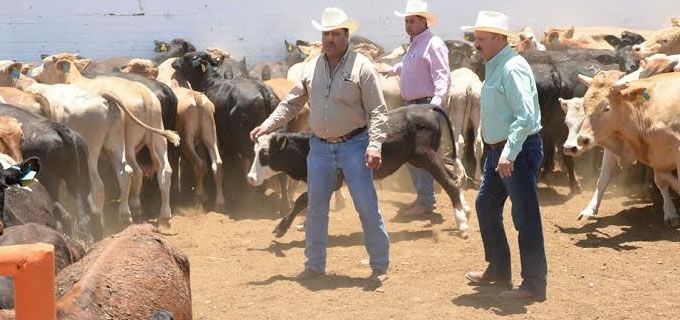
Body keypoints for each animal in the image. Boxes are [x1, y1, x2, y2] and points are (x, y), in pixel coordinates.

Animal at [122, 59, 226, 210]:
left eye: (135, 67)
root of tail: (197, 98)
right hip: (211, 135)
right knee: (216, 163)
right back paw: (219, 201)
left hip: (187, 141)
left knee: (198, 163)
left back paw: (200, 194)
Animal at [247, 105, 470, 238]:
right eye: (255, 152)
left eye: (265, 155)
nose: (249, 178)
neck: (307, 148)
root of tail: (426, 107)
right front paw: (304, 224)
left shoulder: (334, 179)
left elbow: (303, 199)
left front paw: (281, 228)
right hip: (423, 157)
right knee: (452, 175)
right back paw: (465, 208)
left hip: (426, 156)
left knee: (449, 183)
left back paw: (462, 225)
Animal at [576, 70, 680, 226]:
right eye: (584, 106)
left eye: (607, 108)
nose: (583, 139)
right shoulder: (615, 148)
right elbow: (602, 180)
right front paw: (589, 210)